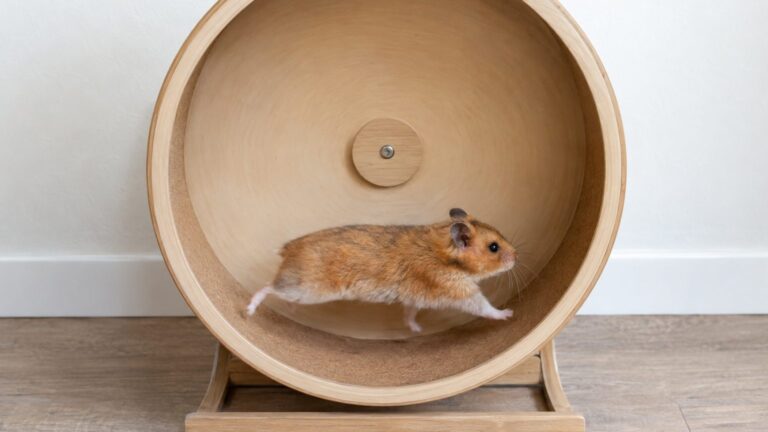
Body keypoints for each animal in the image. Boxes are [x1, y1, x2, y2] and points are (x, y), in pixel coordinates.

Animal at [246, 208, 517, 332]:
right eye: (494, 247)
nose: (517, 256)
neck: (445, 255)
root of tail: (287, 249)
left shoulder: (414, 299)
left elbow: (409, 314)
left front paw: (417, 330)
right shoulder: (460, 291)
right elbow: (485, 307)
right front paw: (508, 314)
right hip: (308, 289)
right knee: (267, 287)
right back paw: (249, 310)